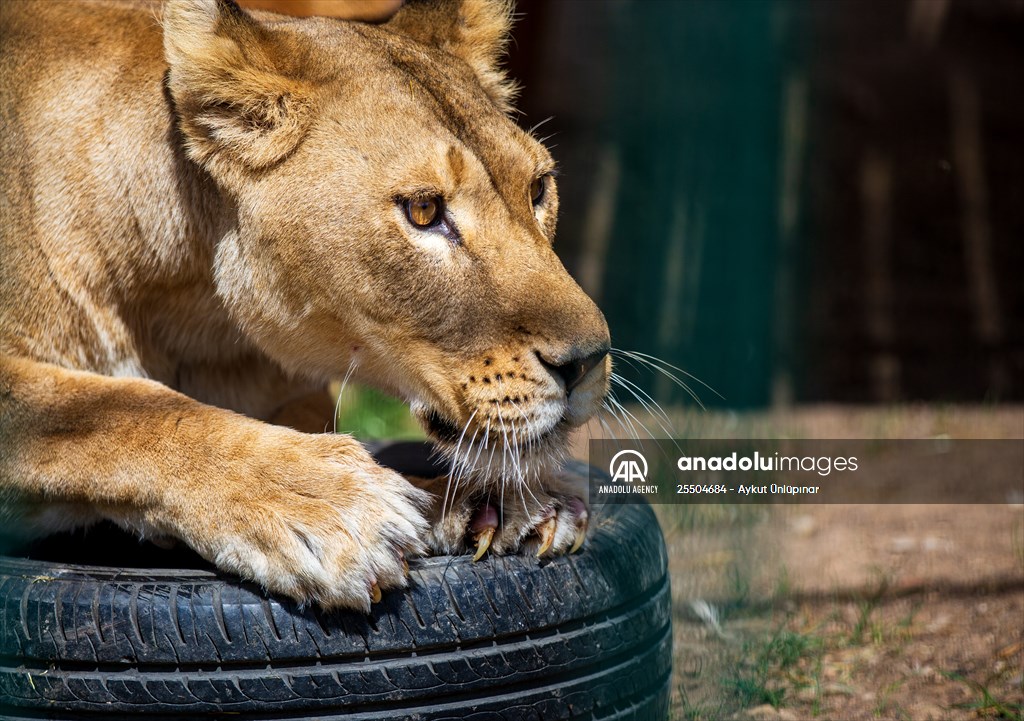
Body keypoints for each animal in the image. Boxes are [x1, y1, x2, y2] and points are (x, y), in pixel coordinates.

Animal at [0, 0, 611, 611]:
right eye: (423, 211)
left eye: (538, 188)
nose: (588, 360)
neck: (199, 328)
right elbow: (120, 408)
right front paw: (329, 504)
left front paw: (492, 502)